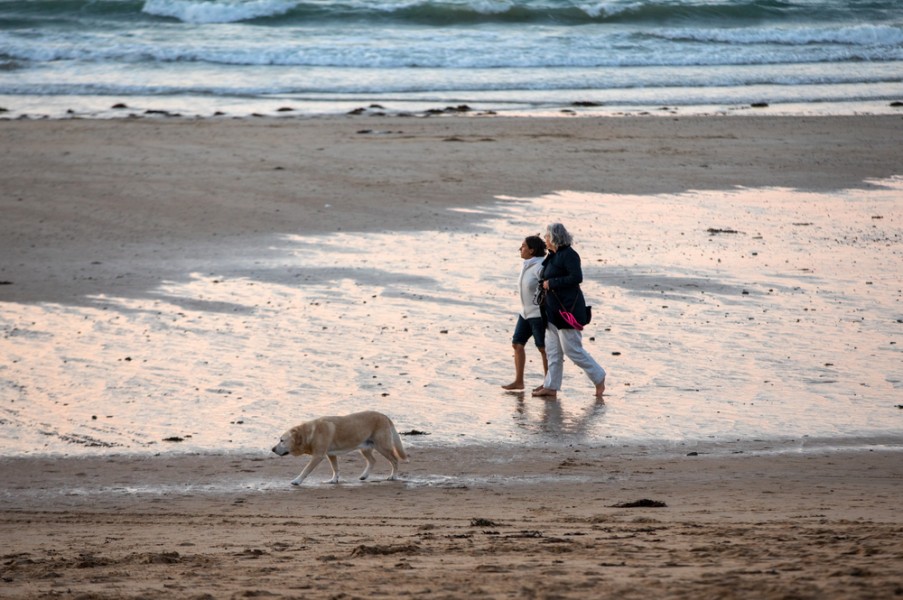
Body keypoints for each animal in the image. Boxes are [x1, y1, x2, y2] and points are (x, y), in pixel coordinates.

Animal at [270, 410, 408, 486]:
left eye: (282, 440)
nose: (272, 449)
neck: (309, 433)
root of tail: (385, 416)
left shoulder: (318, 456)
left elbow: (306, 470)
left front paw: (297, 481)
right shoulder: (331, 454)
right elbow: (335, 468)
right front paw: (333, 480)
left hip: (383, 446)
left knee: (394, 460)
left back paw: (393, 476)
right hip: (364, 448)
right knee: (373, 460)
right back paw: (364, 476)